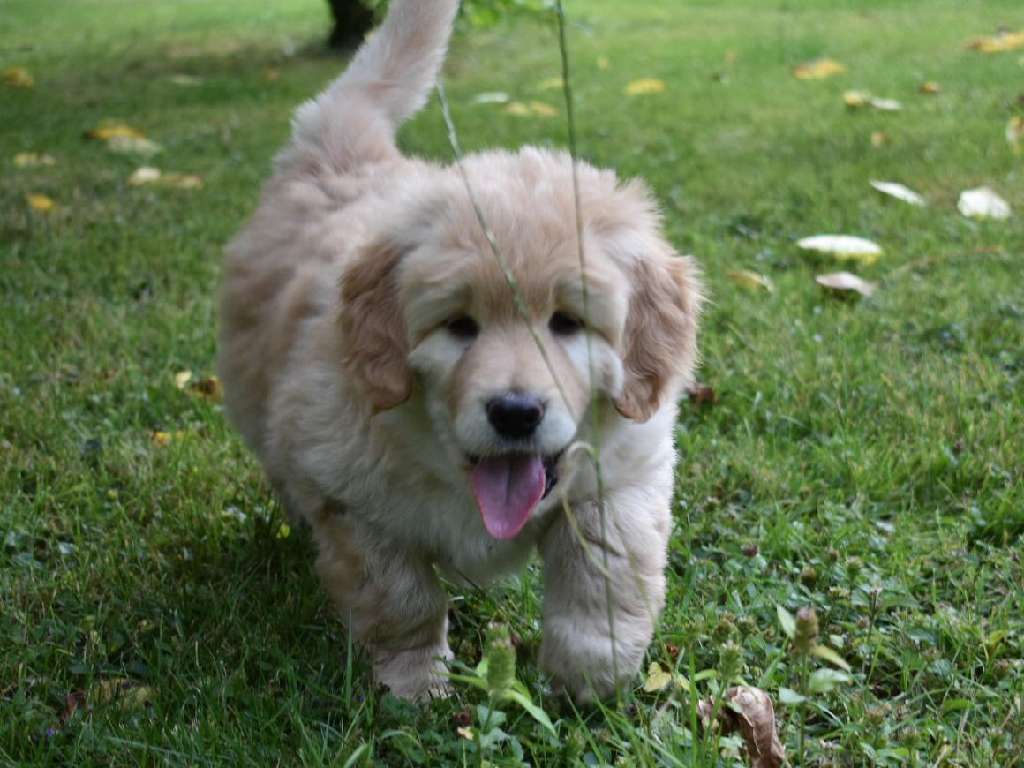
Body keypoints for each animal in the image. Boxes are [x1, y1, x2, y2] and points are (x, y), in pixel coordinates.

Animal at [218, 0, 702, 702]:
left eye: (567, 322)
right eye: (458, 325)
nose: (516, 412)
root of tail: (341, 149)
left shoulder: (620, 477)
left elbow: (603, 579)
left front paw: (586, 683)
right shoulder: (353, 501)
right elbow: (403, 599)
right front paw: (416, 685)